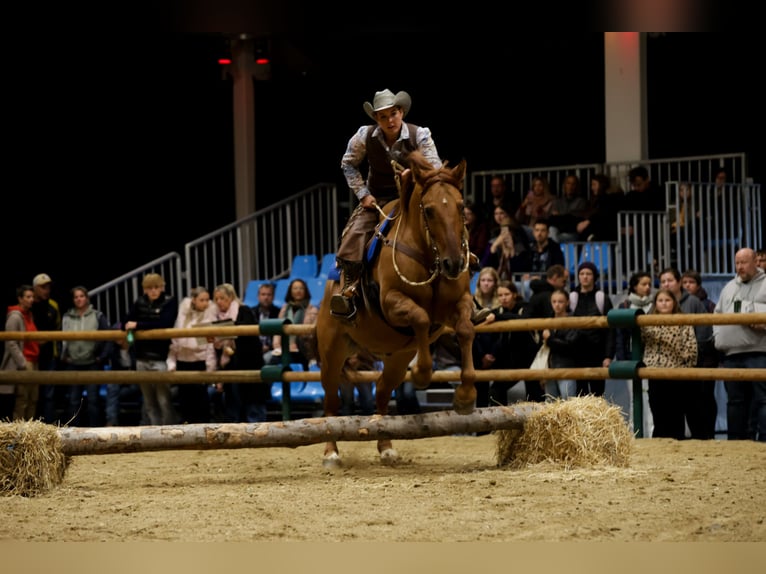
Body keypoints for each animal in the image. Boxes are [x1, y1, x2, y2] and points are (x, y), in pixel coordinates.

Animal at [315, 151, 477, 467]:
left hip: (397, 359)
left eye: (461, 206)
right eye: (429, 210)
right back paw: (330, 453)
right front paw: (423, 374)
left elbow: (465, 329)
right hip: (331, 352)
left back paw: (386, 446)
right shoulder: (391, 303)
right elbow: (421, 317)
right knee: (331, 401)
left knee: (381, 393)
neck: (429, 256)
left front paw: (465, 395)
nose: (454, 263)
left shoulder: (458, 303)